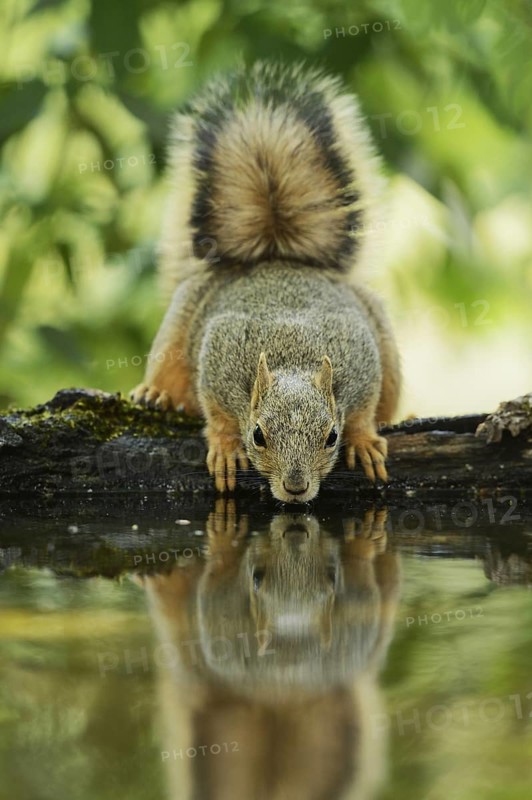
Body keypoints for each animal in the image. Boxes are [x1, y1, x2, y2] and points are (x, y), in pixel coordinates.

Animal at [130, 61, 401, 503]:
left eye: (331, 436)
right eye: (258, 435)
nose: (295, 487)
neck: (292, 355)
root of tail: (275, 256)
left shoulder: (361, 359)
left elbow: (362, 410)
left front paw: (363, 441)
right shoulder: (219, 359)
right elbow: (218, 413)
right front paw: (226, 447)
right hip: (180, 323)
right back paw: (157, 393)